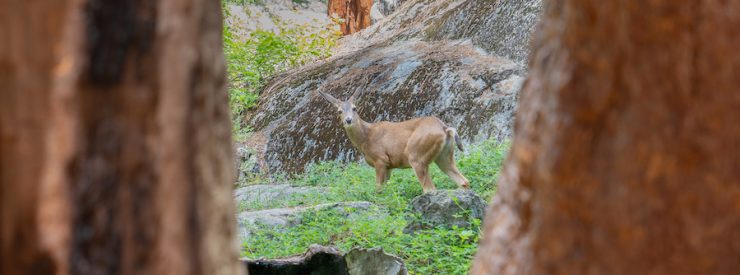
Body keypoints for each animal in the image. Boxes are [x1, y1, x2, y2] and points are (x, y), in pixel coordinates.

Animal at [316, 90, 468, 194]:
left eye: (354, 108)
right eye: (339, 111)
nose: (348, 120)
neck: (366, 138)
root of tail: (445, 129)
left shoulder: (380, 159)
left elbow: (378, 189)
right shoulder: (389, 165)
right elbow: (385, 189)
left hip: (417, 155)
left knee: (430, 189)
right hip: (444, 156)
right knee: (463, 181)